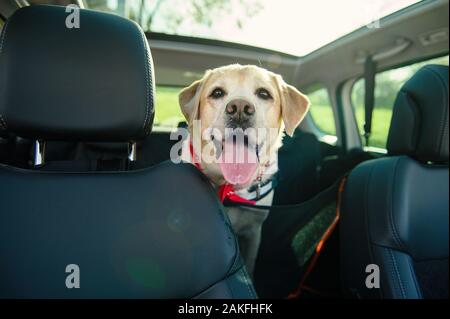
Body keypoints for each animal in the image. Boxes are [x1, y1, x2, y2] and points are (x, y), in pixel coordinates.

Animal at [178, 65, 312, 278]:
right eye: (217, 93)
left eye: (264, 94)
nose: (239, 108)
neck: (227, 187)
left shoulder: (253, 231)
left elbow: (249, 263)